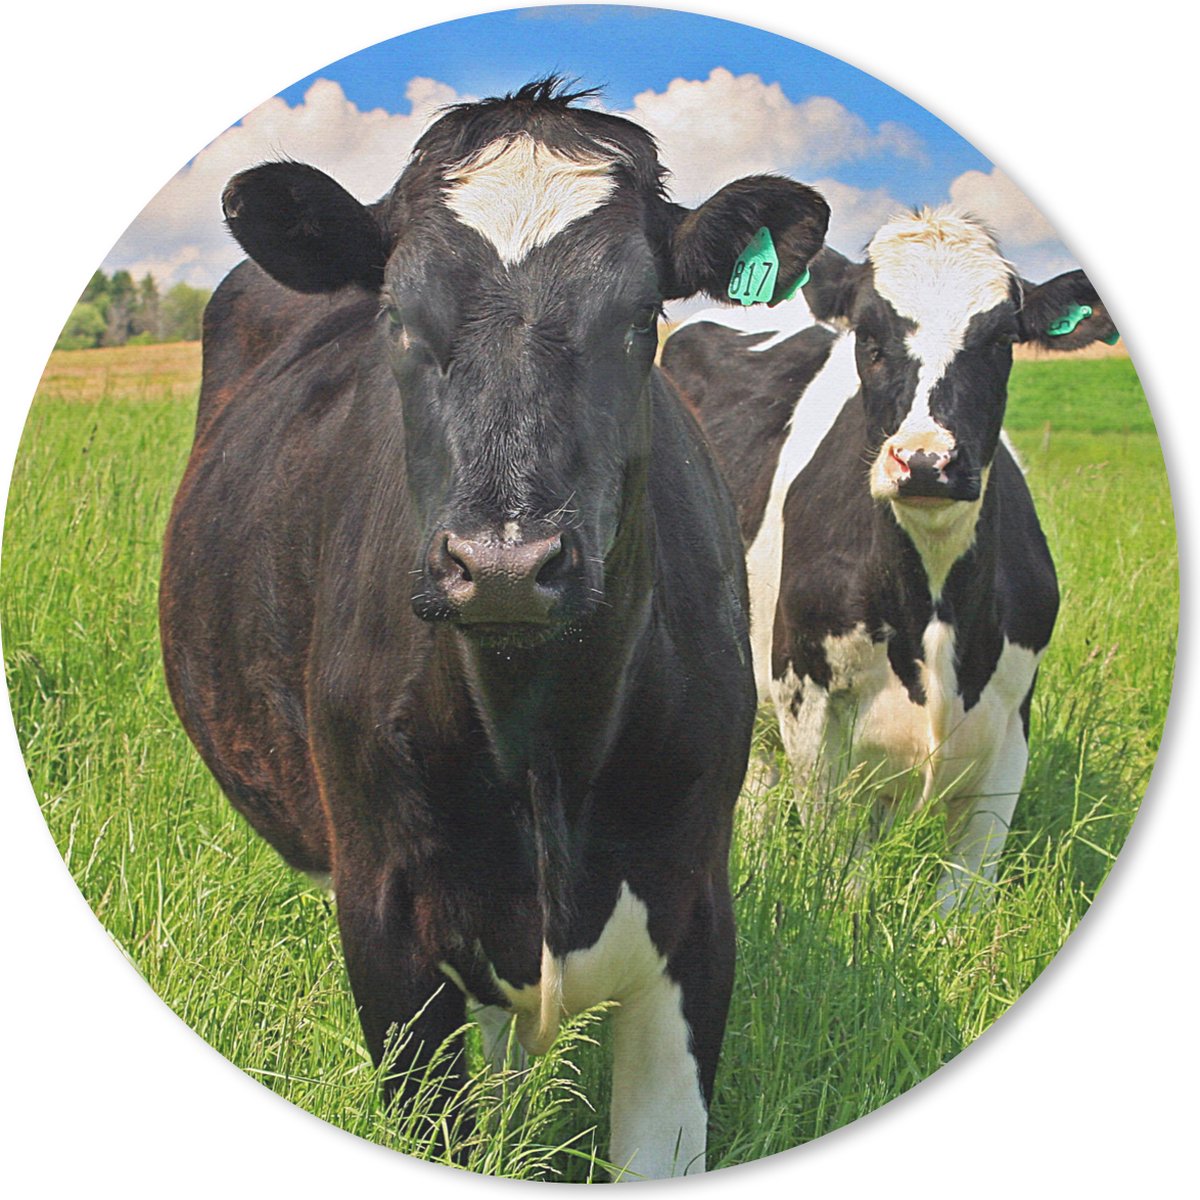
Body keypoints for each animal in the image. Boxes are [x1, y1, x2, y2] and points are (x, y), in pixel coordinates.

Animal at [158, 79, 830, 1179]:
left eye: (641, 317)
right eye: (396, 314)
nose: (508, 564)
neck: (541, 740)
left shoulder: (695, 910)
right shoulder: (384, 921)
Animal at [662, 206, 1116, 913]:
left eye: (1002, 340)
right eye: (869, 337)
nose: (926, 460)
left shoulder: (1012, 720)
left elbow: (964, 899)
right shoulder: (809, 702)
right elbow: (838, 870)